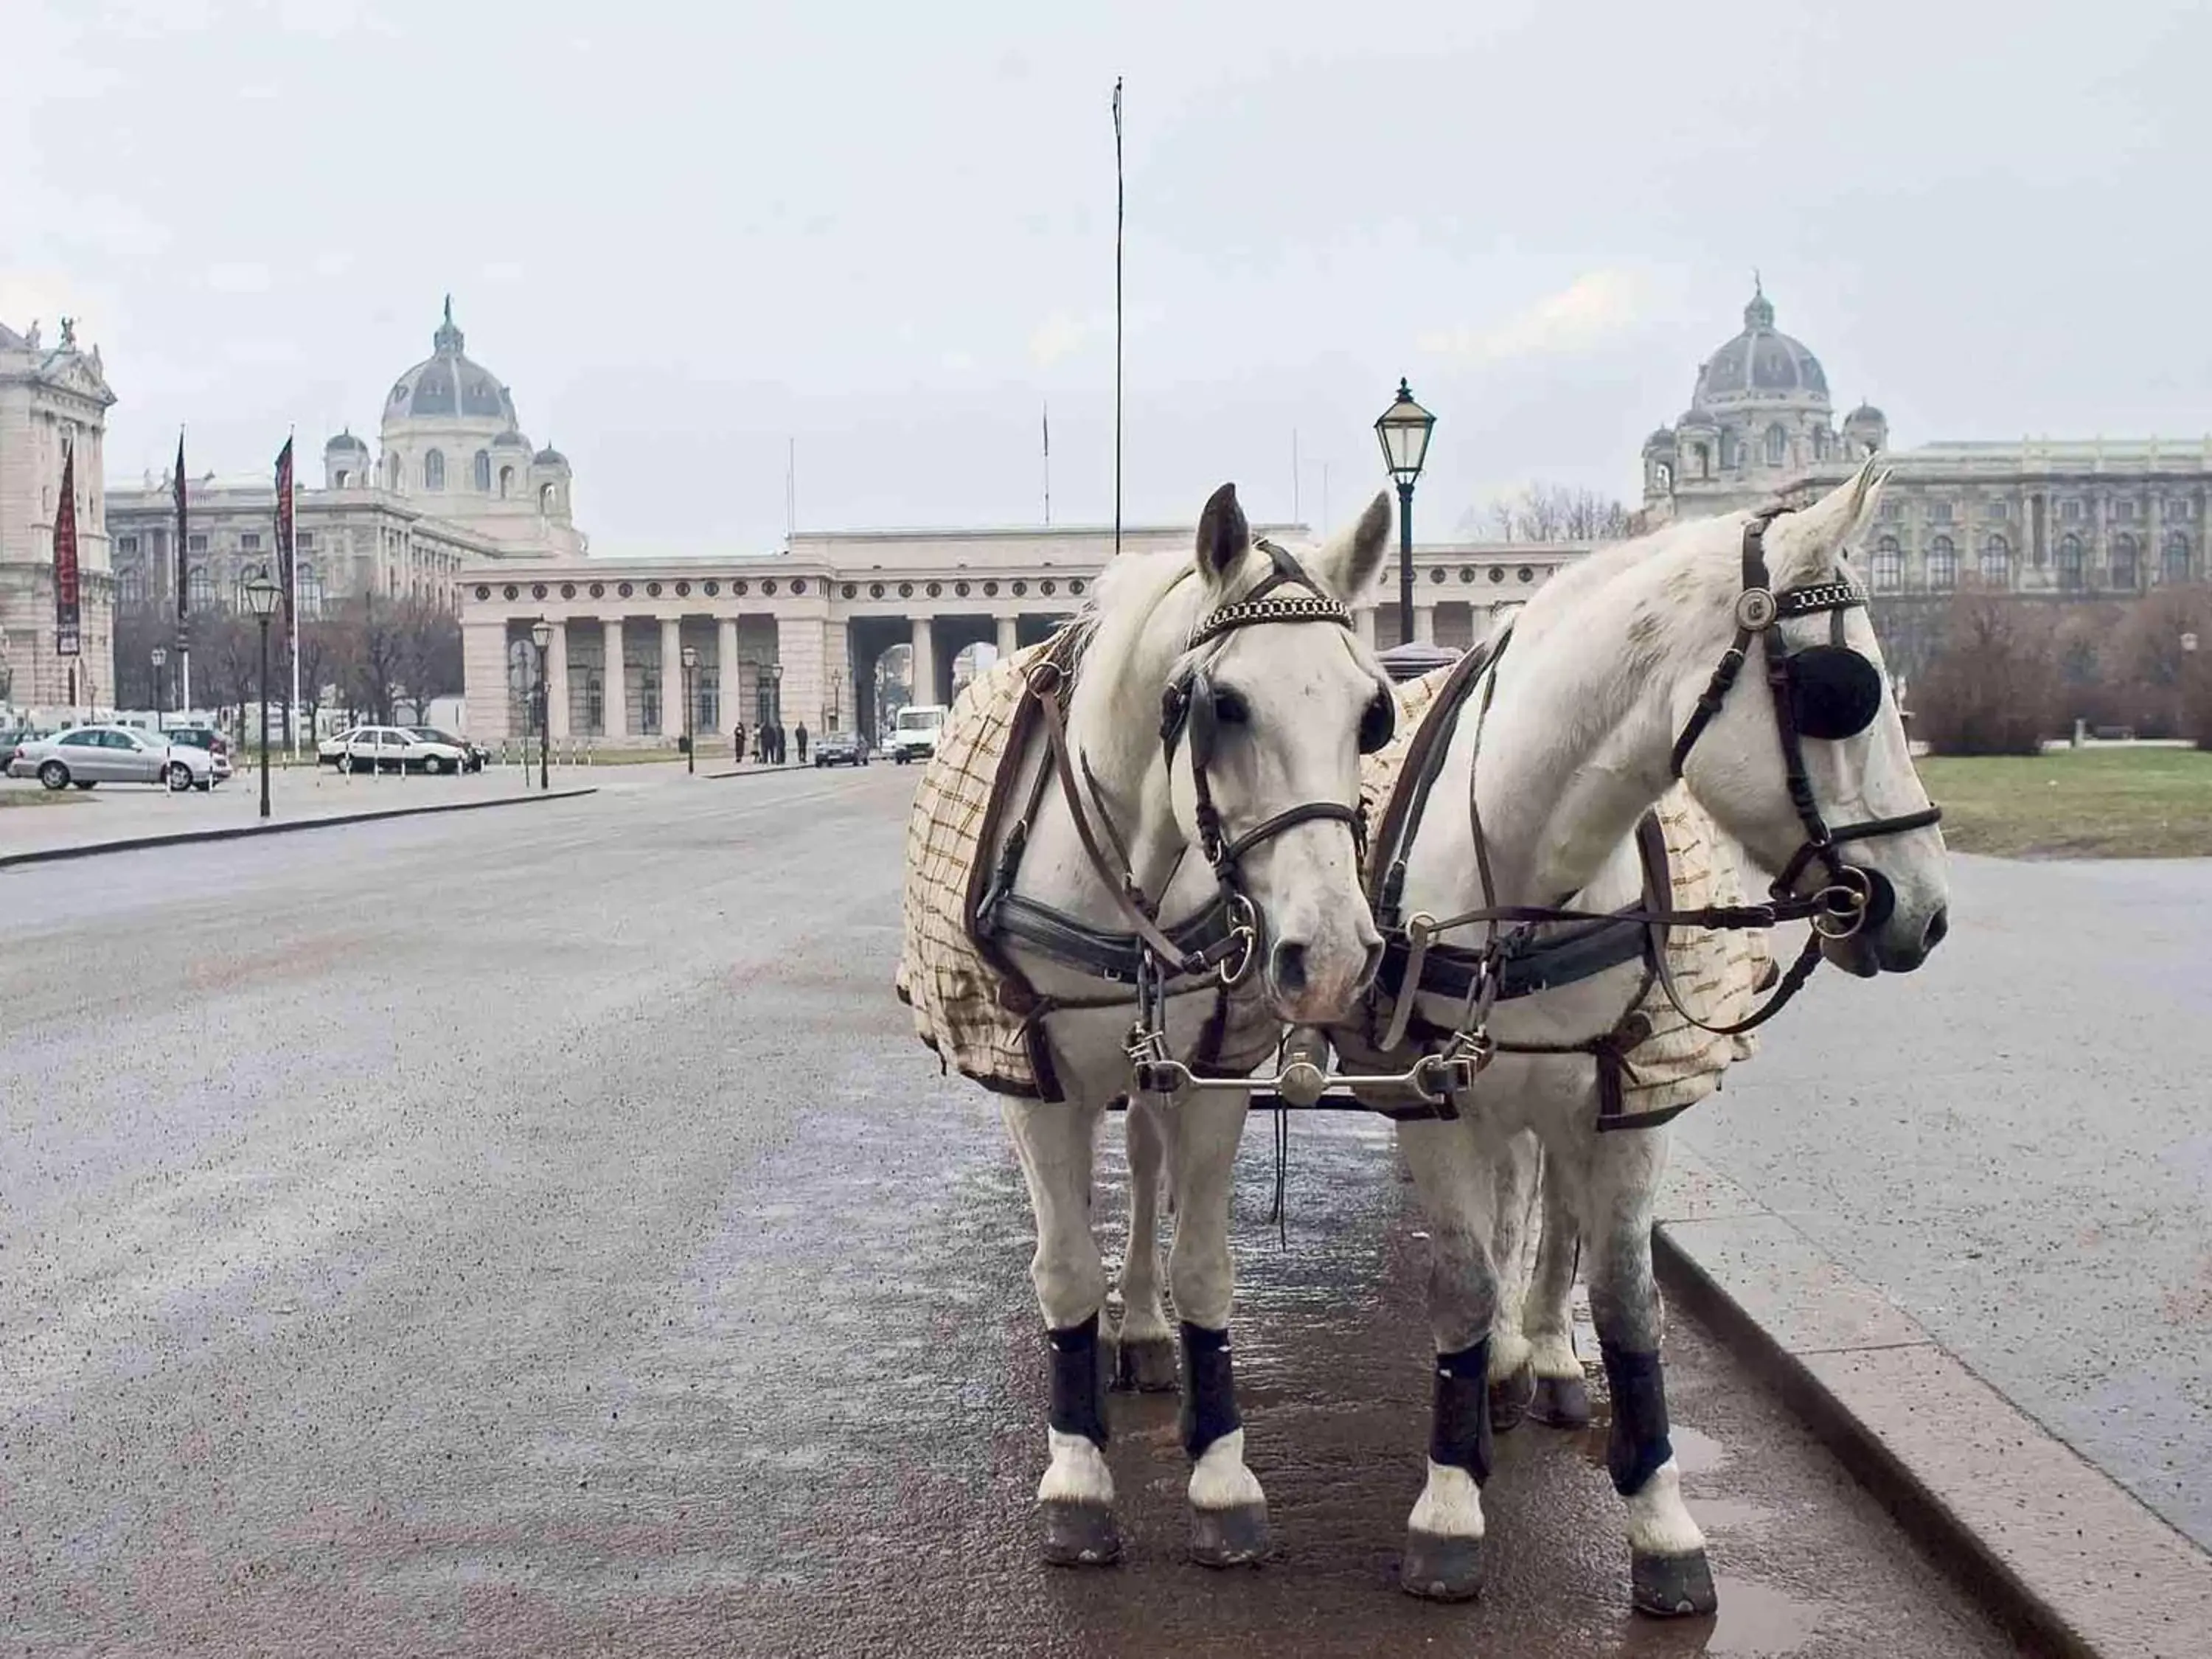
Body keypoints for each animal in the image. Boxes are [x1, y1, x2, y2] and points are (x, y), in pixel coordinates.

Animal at [920, 491, 1398, 1575]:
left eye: (1372, 711)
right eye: (1228, 705)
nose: (1334, 955)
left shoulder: (1213, 1071)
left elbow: (1203, 1266)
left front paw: (1222, 1474)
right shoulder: (1033, 1080)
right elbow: (1061, 1266)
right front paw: (1077, 1473)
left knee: (1141, 1173)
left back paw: (1137, 1329)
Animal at [1327, 462, 1938, 1619]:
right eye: (1841, 691)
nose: (1921, 912)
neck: (1529, 886)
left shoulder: (1629, 1103)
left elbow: (1624, 1293)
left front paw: (1660, 1520)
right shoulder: (1438, 1099)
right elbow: (1461, 1281)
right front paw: (1449, 1498)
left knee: (1550, 1214)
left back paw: (1544, 1358)